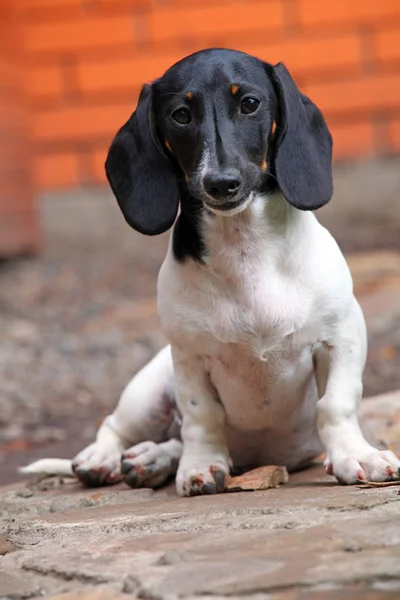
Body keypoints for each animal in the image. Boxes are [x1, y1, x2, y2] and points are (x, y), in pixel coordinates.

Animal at [22, 49, 400, 494]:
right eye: (181, 114)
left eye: (250, 103)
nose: (221, 183)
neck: (245, 251)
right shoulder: (189, 357)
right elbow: (201, 417)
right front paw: (201, 465)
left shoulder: (341, 336)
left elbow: (336, 404)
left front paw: (356, 456)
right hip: (149, 388)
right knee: (119, 427)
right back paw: (108, 458)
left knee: (171, 441)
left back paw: (151, 459)